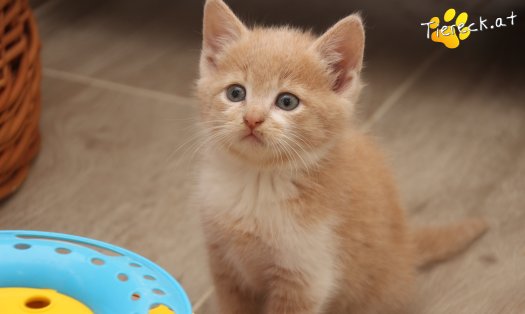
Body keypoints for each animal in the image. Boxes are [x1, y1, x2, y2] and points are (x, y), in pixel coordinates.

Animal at [195, 1, 488, 312]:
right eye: (236, 93)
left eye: (287, 101)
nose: (252, 119)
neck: (258, 180)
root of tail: (407, 246)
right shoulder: (223, 264)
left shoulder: (307, 275)